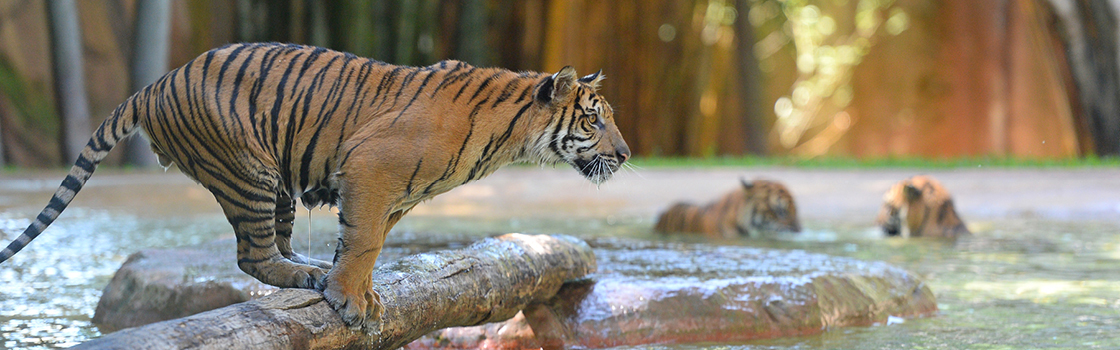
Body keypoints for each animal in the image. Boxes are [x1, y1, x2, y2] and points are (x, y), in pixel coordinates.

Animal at [0, 42, 631, 329]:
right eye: (594, 121)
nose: (626, 155)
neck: (512, 136)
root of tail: (155, 83)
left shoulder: (394, 194)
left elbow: (366, 242)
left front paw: (364, 295)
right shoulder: (372, 169)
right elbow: (364, 240)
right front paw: (350, 301)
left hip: (276, 181)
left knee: (272, 248)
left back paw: (306, 267)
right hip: (248, 169)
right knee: (252, 256)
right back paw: (305, 275)